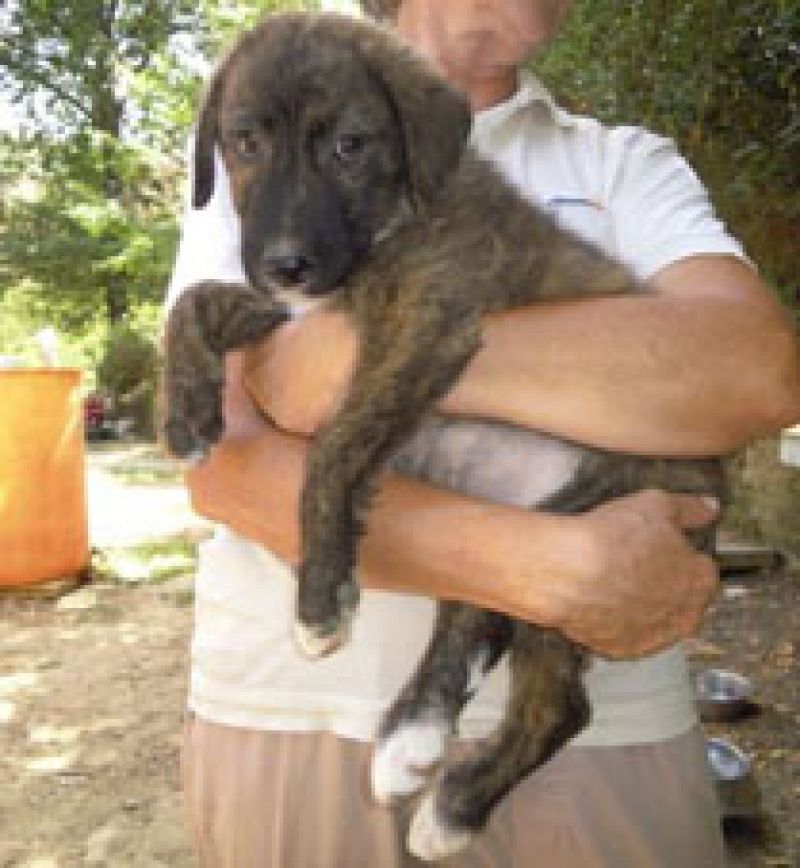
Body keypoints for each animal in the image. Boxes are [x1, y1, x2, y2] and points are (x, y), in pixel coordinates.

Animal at [162, 11, 724, 860]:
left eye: (350, 145)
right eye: (244, 142)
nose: (286, 263)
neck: (392, 216)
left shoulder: (424, 326)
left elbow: (332, 449)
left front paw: (319, 601)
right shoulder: (288, 312)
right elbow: (193, 300)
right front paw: (187, 411)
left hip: (593, 530)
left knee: (559, 702)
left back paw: (452, 805)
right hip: (517, 536)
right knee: (477, 615)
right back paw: (413, 741)